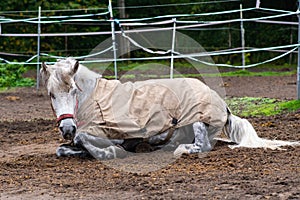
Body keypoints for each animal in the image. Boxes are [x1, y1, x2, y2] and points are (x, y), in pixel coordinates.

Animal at [40, 57, 300, 159]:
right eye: (51, 94)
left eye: (74, 90)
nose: (67, 128)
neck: (94, 99)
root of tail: (223, 105)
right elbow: (62, 148)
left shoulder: (114, 133)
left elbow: (86, 140)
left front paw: (111, 152)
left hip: (197, 119)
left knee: (202, 145)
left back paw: (180, 149)